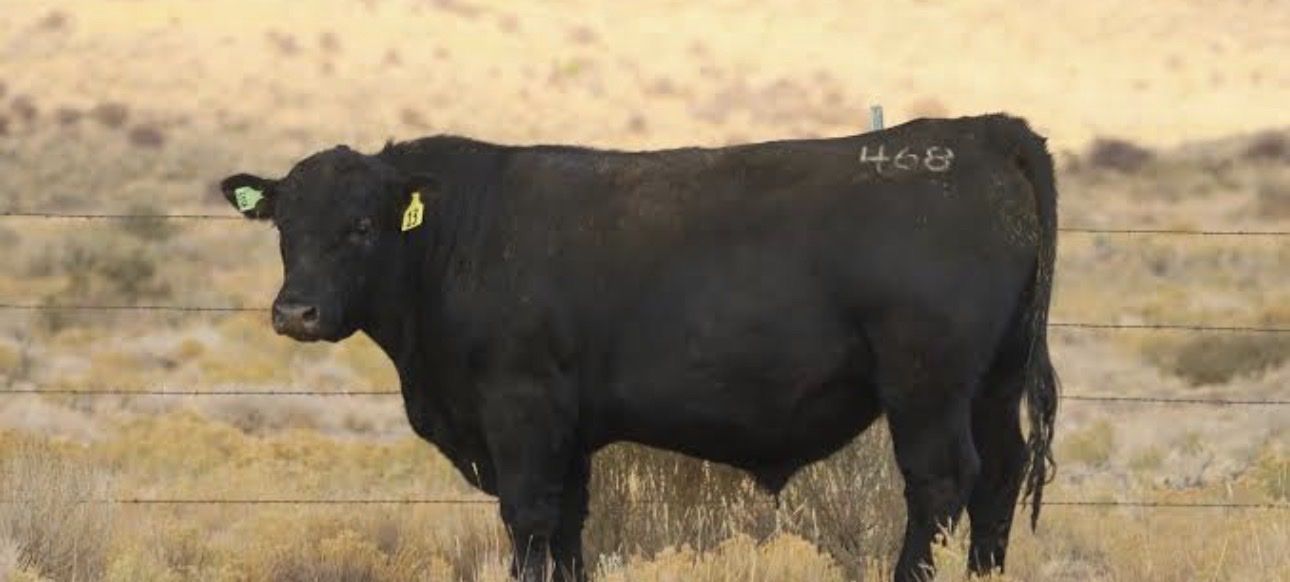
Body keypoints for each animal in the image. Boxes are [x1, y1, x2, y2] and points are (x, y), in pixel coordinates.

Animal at [219, 114, 1059, 582]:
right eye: (285, 225)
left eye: (361, 226)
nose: (296, 312)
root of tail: (979, 131)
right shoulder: (568, 430)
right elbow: (568, 526)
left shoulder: (521, 409)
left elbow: (529, 518)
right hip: (993, 381)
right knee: (1000, 476)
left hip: (926, 384)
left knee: (940, 483)